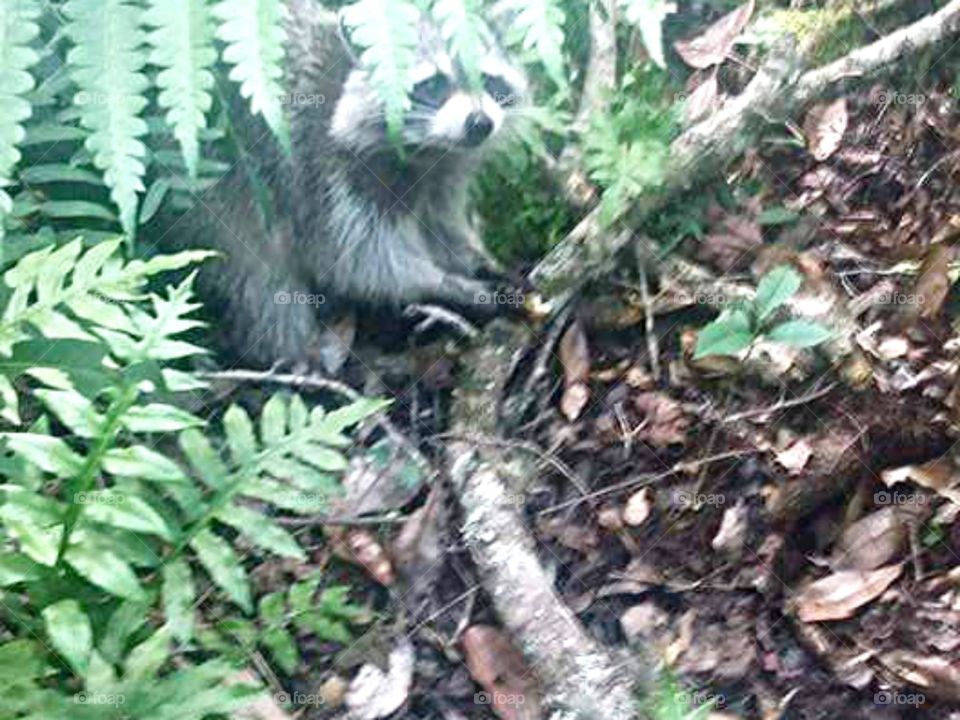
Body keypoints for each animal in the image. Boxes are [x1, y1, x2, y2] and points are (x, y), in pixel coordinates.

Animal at [176, 0, 527, 370]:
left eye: (488, 79)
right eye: (434, 84)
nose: (480, 123)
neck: (427, 149)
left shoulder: (441, 175)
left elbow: (440, 226)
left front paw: (476, 261)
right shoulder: (319, 169)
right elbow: (360, 264)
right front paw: (446, 285)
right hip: (225, 194)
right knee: (258, 273)